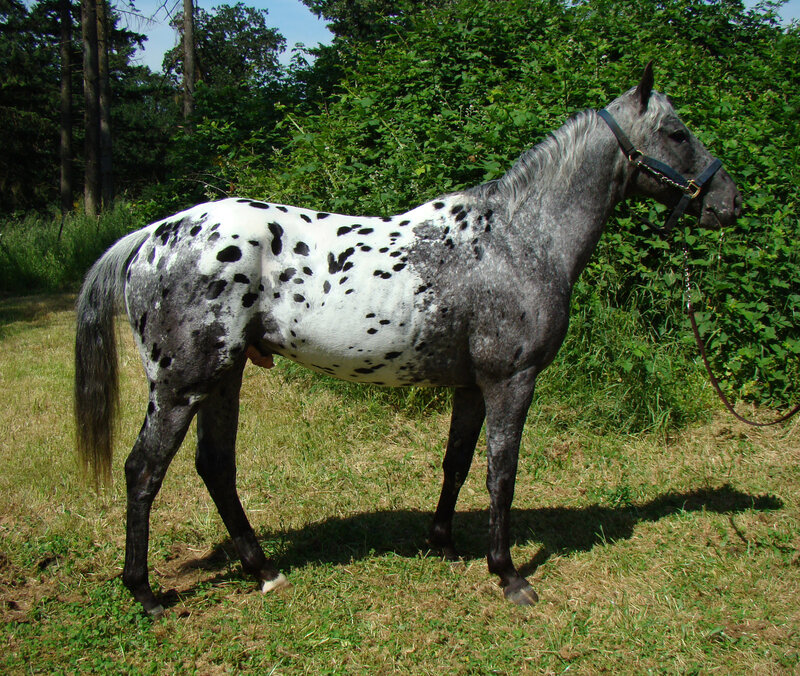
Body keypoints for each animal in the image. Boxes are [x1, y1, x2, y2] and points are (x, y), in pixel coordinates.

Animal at [75, 65, 741, 615]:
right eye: (677, 132)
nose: (729, 203)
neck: (516, 239)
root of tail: (155, 234)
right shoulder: (511, 381)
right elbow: (502, 474)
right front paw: (508, 576)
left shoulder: (473, 386)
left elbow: (458, 462)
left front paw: (443, 543)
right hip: (182, 384)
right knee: (144, 472)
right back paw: (145, 593)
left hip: (225, 377)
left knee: (215, 467)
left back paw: (263, 572)